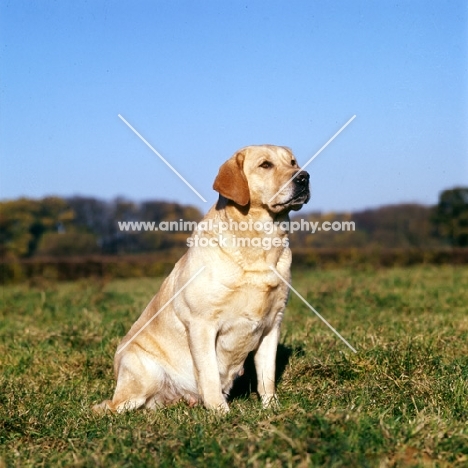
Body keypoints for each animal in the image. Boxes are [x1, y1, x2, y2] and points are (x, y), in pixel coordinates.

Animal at [93, 144, 308, 412]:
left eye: (293, 162)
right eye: (265, 165)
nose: (304, 177)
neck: (258, 246)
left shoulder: (272, 325)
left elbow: (266, 376)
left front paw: (272, 407)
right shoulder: (202, 324)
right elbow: (209, 373)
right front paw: (220, 411)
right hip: (143, 376)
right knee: (108, 407)